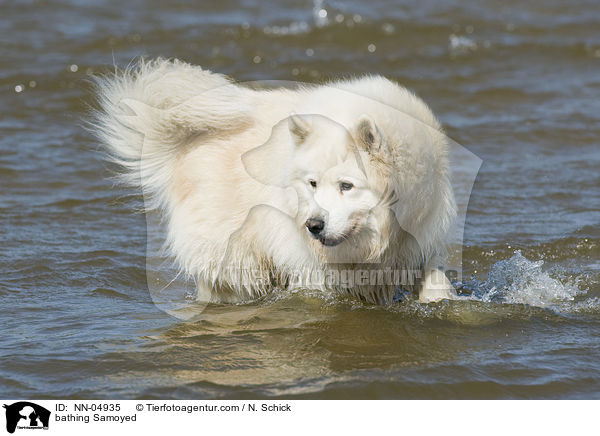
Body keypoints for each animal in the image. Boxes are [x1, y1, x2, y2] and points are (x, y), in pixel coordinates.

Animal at [94, 58, 458, 304]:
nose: (313, 225)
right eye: (312, 184)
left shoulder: (418, 243)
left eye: (346, 186)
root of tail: (184, 142)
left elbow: (436, 280)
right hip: (238, 259)